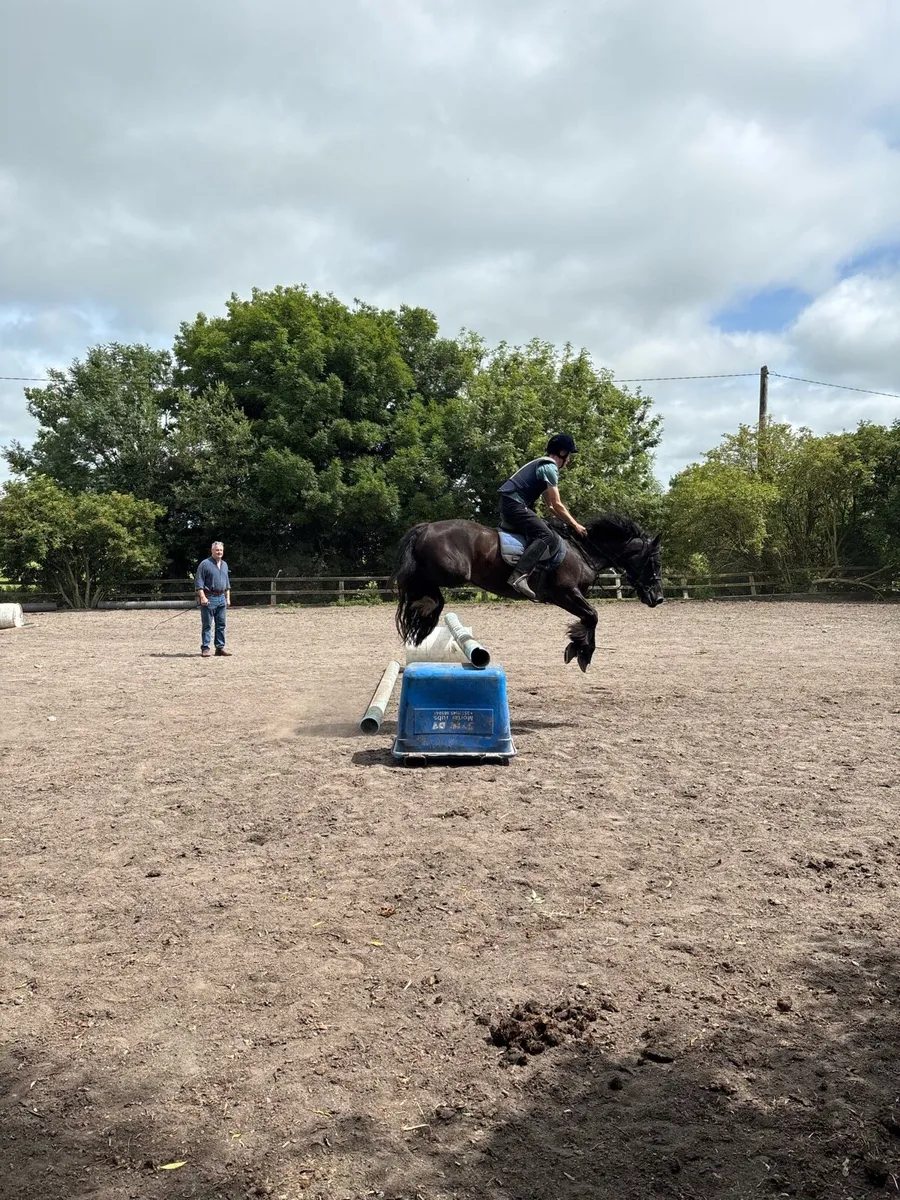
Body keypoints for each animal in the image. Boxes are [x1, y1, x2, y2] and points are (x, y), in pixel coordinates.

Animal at [394, 513, 664, 672]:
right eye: (654, 562)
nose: (658, 598)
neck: (583, 551)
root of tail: (426, 527)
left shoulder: (567, 596)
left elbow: (590, 618)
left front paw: (577, 646)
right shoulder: (565, 593)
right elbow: (593, 616)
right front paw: (582, 652)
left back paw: (421, 613)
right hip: (453, 573)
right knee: (422, 585)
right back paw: (422, 609)